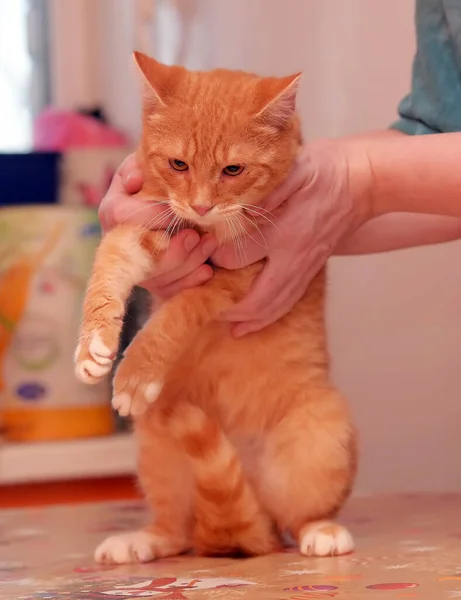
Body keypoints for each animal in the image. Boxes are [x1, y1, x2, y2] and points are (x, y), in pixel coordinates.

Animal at [74, 54, 356, 564]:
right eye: (178, 164)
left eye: (233, 169)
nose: (201, 206)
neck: (207, 229)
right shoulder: (146, 223)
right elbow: (107, 271)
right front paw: (94, 347)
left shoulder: (241, 276)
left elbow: (176, 317)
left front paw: (137, 373)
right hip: (157, 450)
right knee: (177, 530)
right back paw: (139, 540)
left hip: (322, 437)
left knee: (296, 517)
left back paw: (323, 531)